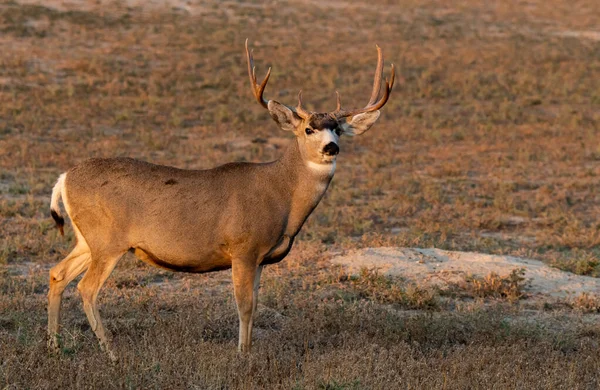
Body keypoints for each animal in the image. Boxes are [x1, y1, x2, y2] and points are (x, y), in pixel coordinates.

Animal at [47, 39, 394, 360]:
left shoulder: (261, 258)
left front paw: (249, 351)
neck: (281, 195)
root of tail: (64, 178)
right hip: (108, 241)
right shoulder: (243, 248)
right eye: (309, 129)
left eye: (337, 128)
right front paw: (242, 355)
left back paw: (54, 346)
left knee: (57, 274)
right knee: (87, 288)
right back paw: (112, 353)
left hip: (87, 240)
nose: (331, 148)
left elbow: (255, 304)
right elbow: (244, 305)